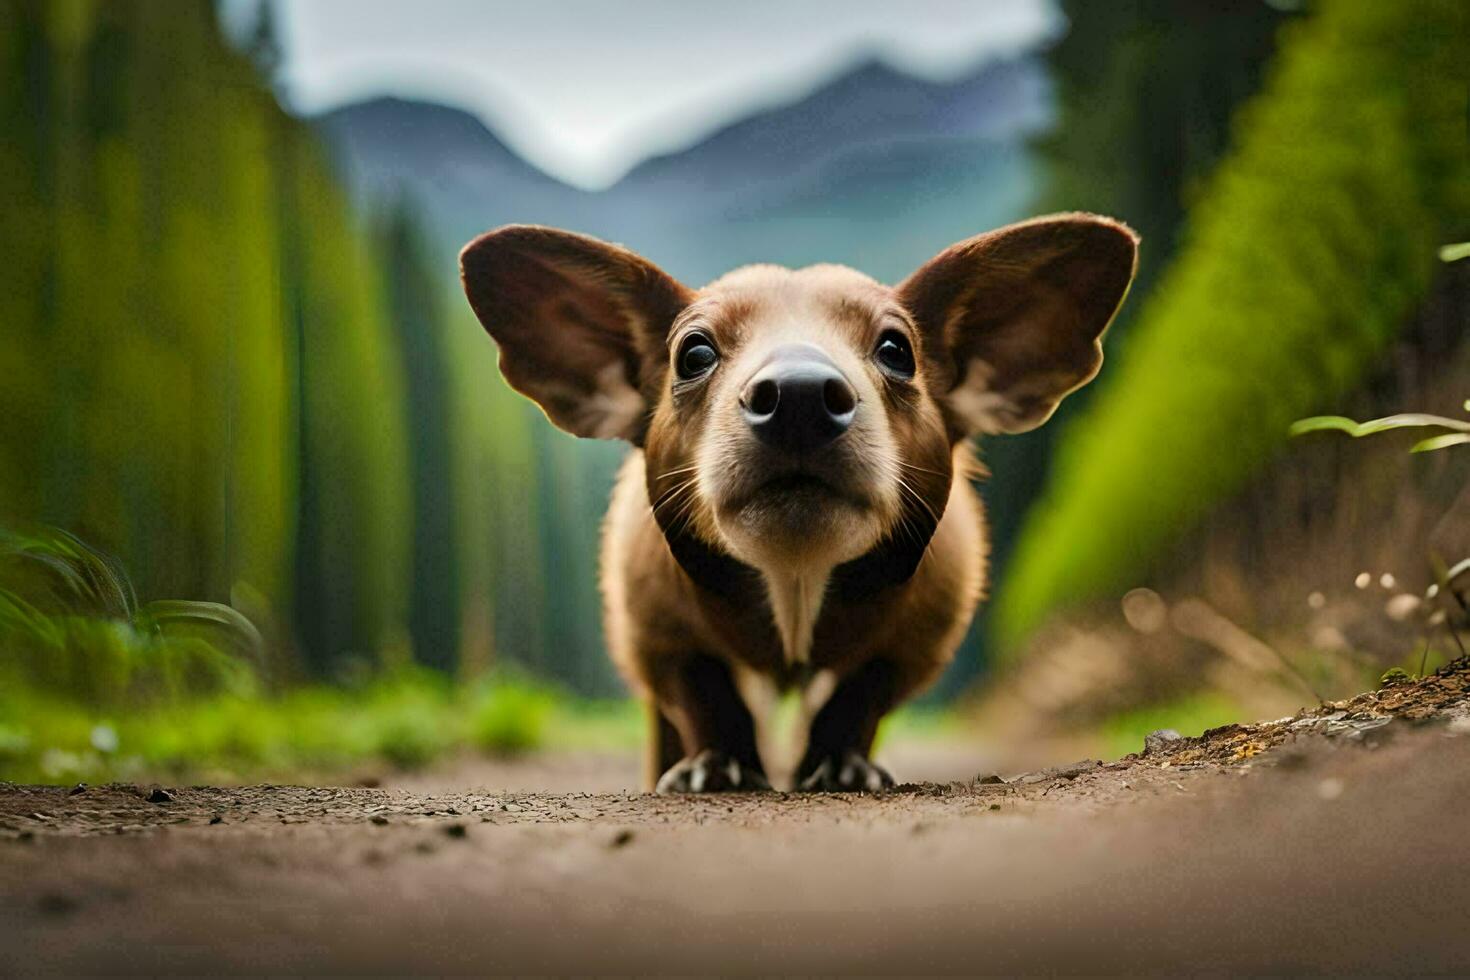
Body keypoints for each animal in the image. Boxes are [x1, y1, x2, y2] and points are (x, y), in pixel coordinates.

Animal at [461, 213, 1134, 787]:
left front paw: (841, 766)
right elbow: (706, 695)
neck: (795, 584)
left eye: (897, 350)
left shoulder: (913, 644)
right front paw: (717, 767)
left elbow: (856, 698)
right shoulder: (655, 633)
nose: (799, 393)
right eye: (694, 353)